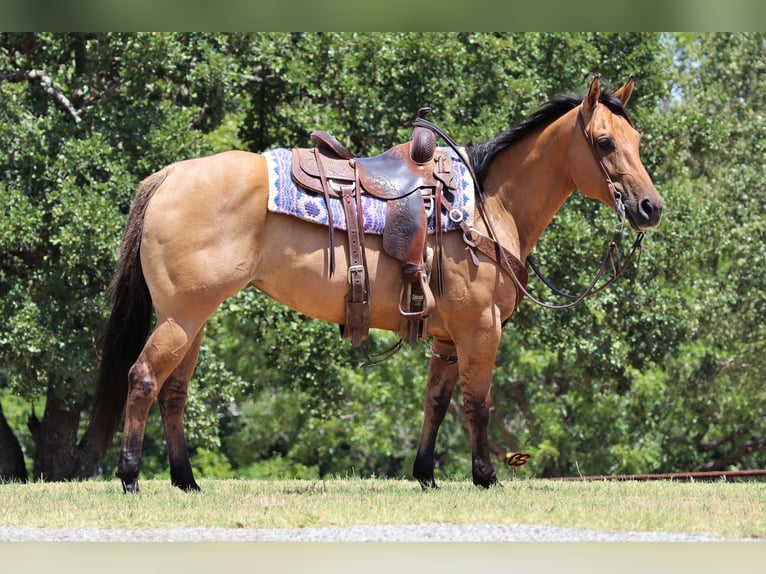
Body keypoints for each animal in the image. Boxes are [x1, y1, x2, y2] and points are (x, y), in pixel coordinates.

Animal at [88, 74, 664, 492]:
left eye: (637, 140)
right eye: (604, 142)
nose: (650, 207)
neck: (486, 206)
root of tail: (170, 175)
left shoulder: (448, 336)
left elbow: (437, 402)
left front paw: (426, 475)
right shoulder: (480, 328)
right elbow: (477, 403)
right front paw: (485, 477)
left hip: (193, 320)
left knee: (174, 392)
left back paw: (186, 482)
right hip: (182, 318)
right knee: (143, 379)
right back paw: (131, 478)